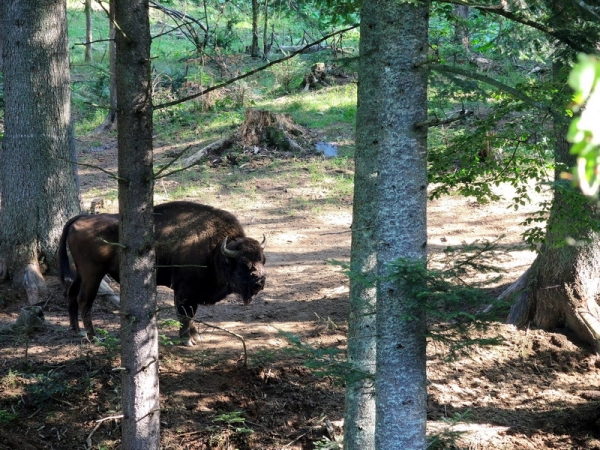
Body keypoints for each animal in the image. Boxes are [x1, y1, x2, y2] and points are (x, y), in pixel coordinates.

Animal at [59, 200, 268, 344]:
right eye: (243, 264)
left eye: (262, 260)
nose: (260, 282)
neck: (215, 249)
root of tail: (82, 217)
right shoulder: (184, 290)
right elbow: (185, 314)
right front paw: (187, 339)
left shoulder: (192, 292)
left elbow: (191, 314)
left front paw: (196, 337)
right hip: (92, 273)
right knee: (84, 300)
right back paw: (94, 337)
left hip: (81, 272)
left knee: (71, 294)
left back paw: (76, 330)